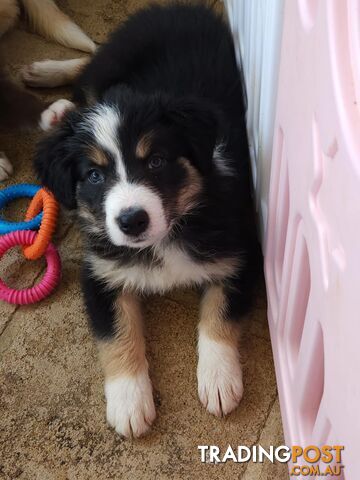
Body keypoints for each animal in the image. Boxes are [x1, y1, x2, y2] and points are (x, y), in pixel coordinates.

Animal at [34, 2, 262, 438]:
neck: (167, 236)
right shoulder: (100, 273)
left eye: (156, 161)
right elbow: (117, 334)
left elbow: (220, 314)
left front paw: (219, 379)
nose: (132, 221)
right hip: (114, 59)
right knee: (91, 64)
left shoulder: (241, 253)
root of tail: (175, 7)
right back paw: (50, 92)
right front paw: (128, 402)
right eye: (94, 175)